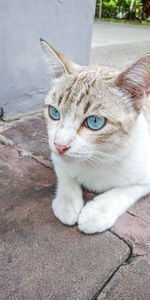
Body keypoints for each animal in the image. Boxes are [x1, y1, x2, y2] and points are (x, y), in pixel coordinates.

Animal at [40, 38, 150, 234]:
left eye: (95, 122)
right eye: (54, 112)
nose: (60, 145)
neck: (99, 158)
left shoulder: (145, 177)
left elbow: (124, 190)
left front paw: (97, 212)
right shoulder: (56, 157)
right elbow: (65, 175)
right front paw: (67, 204)